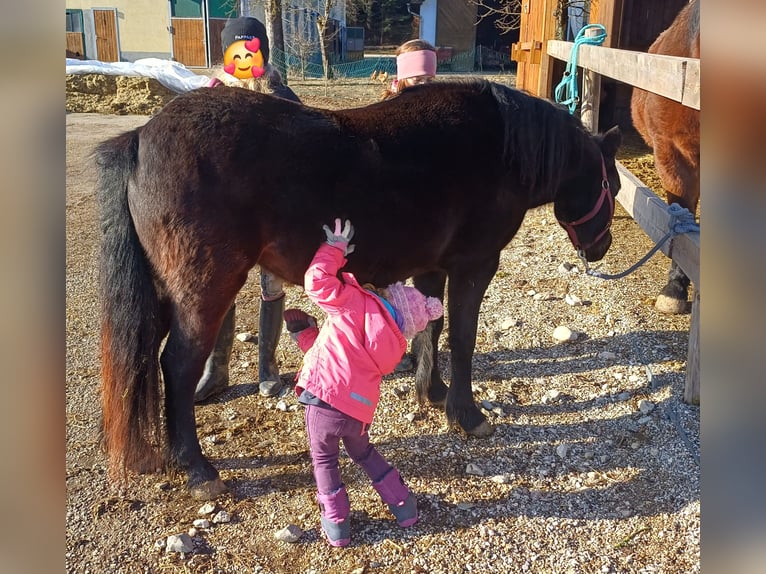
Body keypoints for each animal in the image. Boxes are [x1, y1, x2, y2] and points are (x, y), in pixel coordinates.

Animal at [96, 79, 624, 502]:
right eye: (612, 185)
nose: (601, 248)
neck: (500, 149)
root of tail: (140, 139)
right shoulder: (474, 266)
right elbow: (462, 339)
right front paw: (467, 414)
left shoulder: (431, 268)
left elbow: (431, 332)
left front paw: (432, 392)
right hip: (204, 288)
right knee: (177, 365)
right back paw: (198, 469)